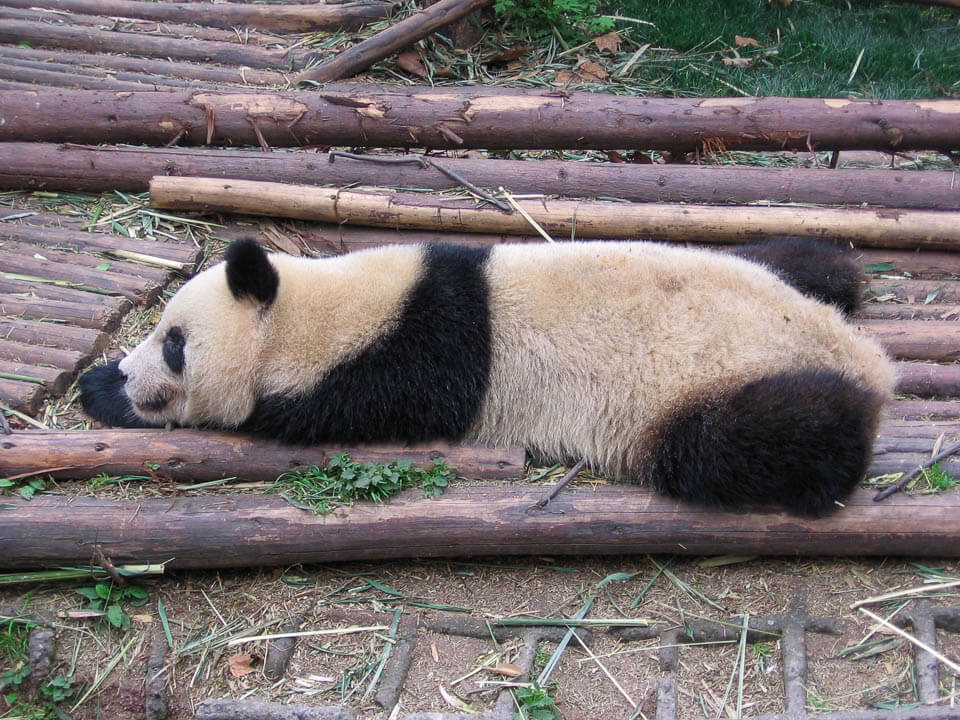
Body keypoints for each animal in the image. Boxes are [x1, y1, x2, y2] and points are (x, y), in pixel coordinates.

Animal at [79, 239, 896, 516]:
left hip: (695, 395)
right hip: (771, 273)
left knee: (747, 441)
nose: (133, 369)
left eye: (175, 345)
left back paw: (844, 420)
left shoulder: (399, 368)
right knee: (810, 261)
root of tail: (859, 354)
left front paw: (106, 393)